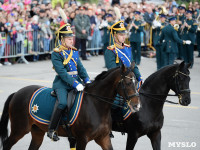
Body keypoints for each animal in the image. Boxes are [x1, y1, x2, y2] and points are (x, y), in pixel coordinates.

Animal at [0, 63, 141, 150]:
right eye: (128, 83)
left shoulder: (104, 138)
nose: (137, 105)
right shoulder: (82, 139)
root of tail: (16, 93)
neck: (96, 105)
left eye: (136, 82)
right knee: (6, 144)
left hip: (37, 131)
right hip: (19, 130)